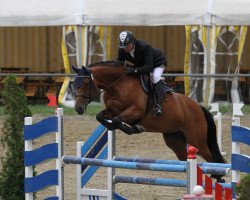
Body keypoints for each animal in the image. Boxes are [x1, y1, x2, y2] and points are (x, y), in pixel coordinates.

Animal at [72, 60, 227, 181]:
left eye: (86, 82)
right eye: (75, 83)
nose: (78, 108)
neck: (118, 85)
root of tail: (198, 107)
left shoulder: (136, 111)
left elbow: (117, 120)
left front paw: (131, 128)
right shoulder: (111, 110)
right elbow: (100, 116)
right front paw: (113, 126)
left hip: (197, 140)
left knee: (212, 158)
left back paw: (218, 176)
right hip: (175, 141)